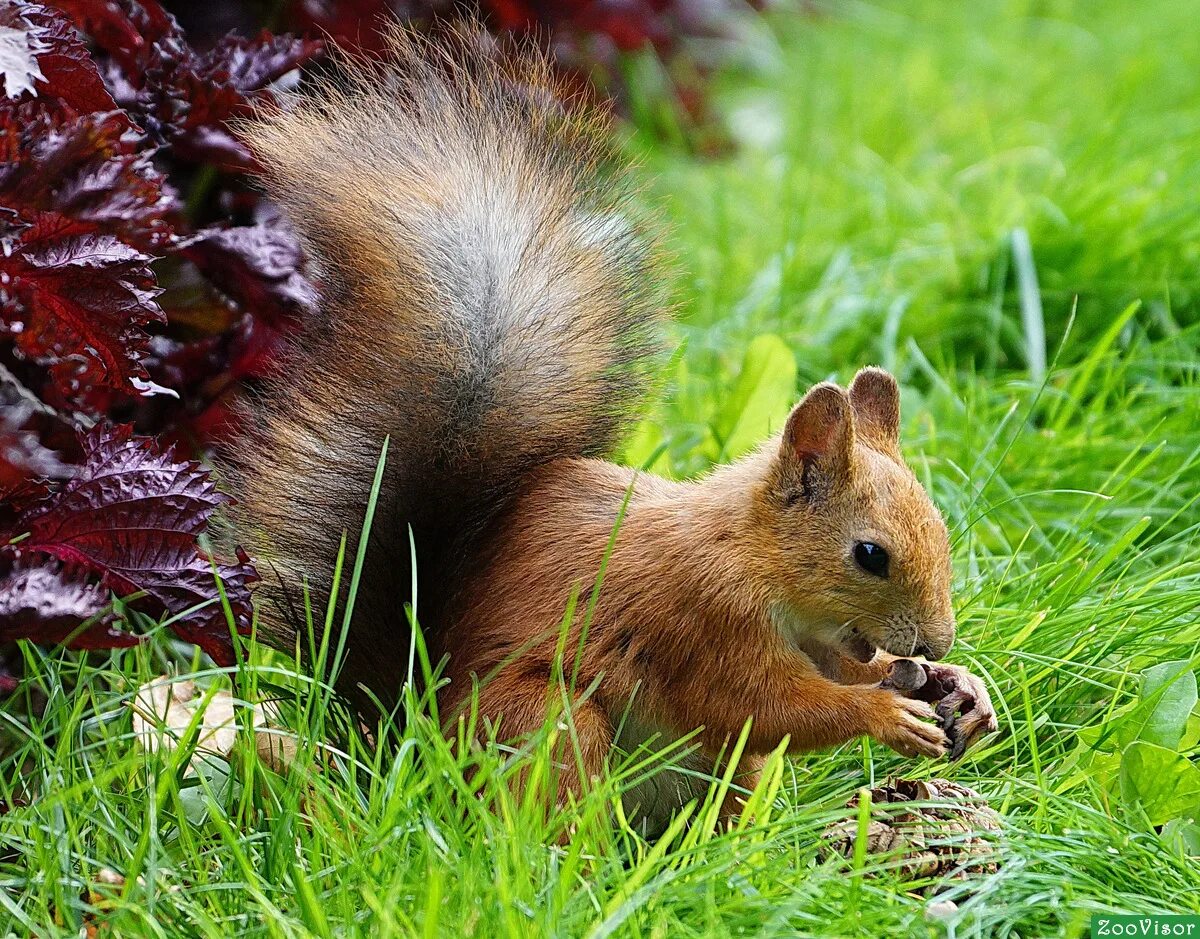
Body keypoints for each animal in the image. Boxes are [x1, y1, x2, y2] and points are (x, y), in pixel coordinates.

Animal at [220, 23, 998, 830]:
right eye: (870, 555)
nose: (937, 637)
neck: (756, 556)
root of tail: (414, 741)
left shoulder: (817, 638)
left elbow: (841, 670)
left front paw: (959, 686)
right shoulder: (701, 619)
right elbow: (765, 704)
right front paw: (882, 713)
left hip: (718, 772)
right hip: (546, 723)